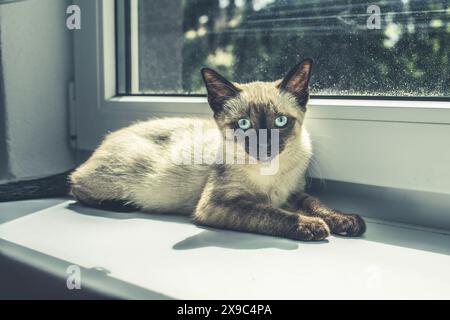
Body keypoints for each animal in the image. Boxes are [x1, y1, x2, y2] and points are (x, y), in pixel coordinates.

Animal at [69, 59, 366, 240]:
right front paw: (309, 225)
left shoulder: (293, 192)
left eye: (281, 121)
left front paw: (344, 220)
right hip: (117, 177)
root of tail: (108, 138)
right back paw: (122, 205)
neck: (269, 174)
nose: (265, 145)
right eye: (244, 124)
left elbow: (315, 204)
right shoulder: (217, 205)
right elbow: (270, 212)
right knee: (75, 185)